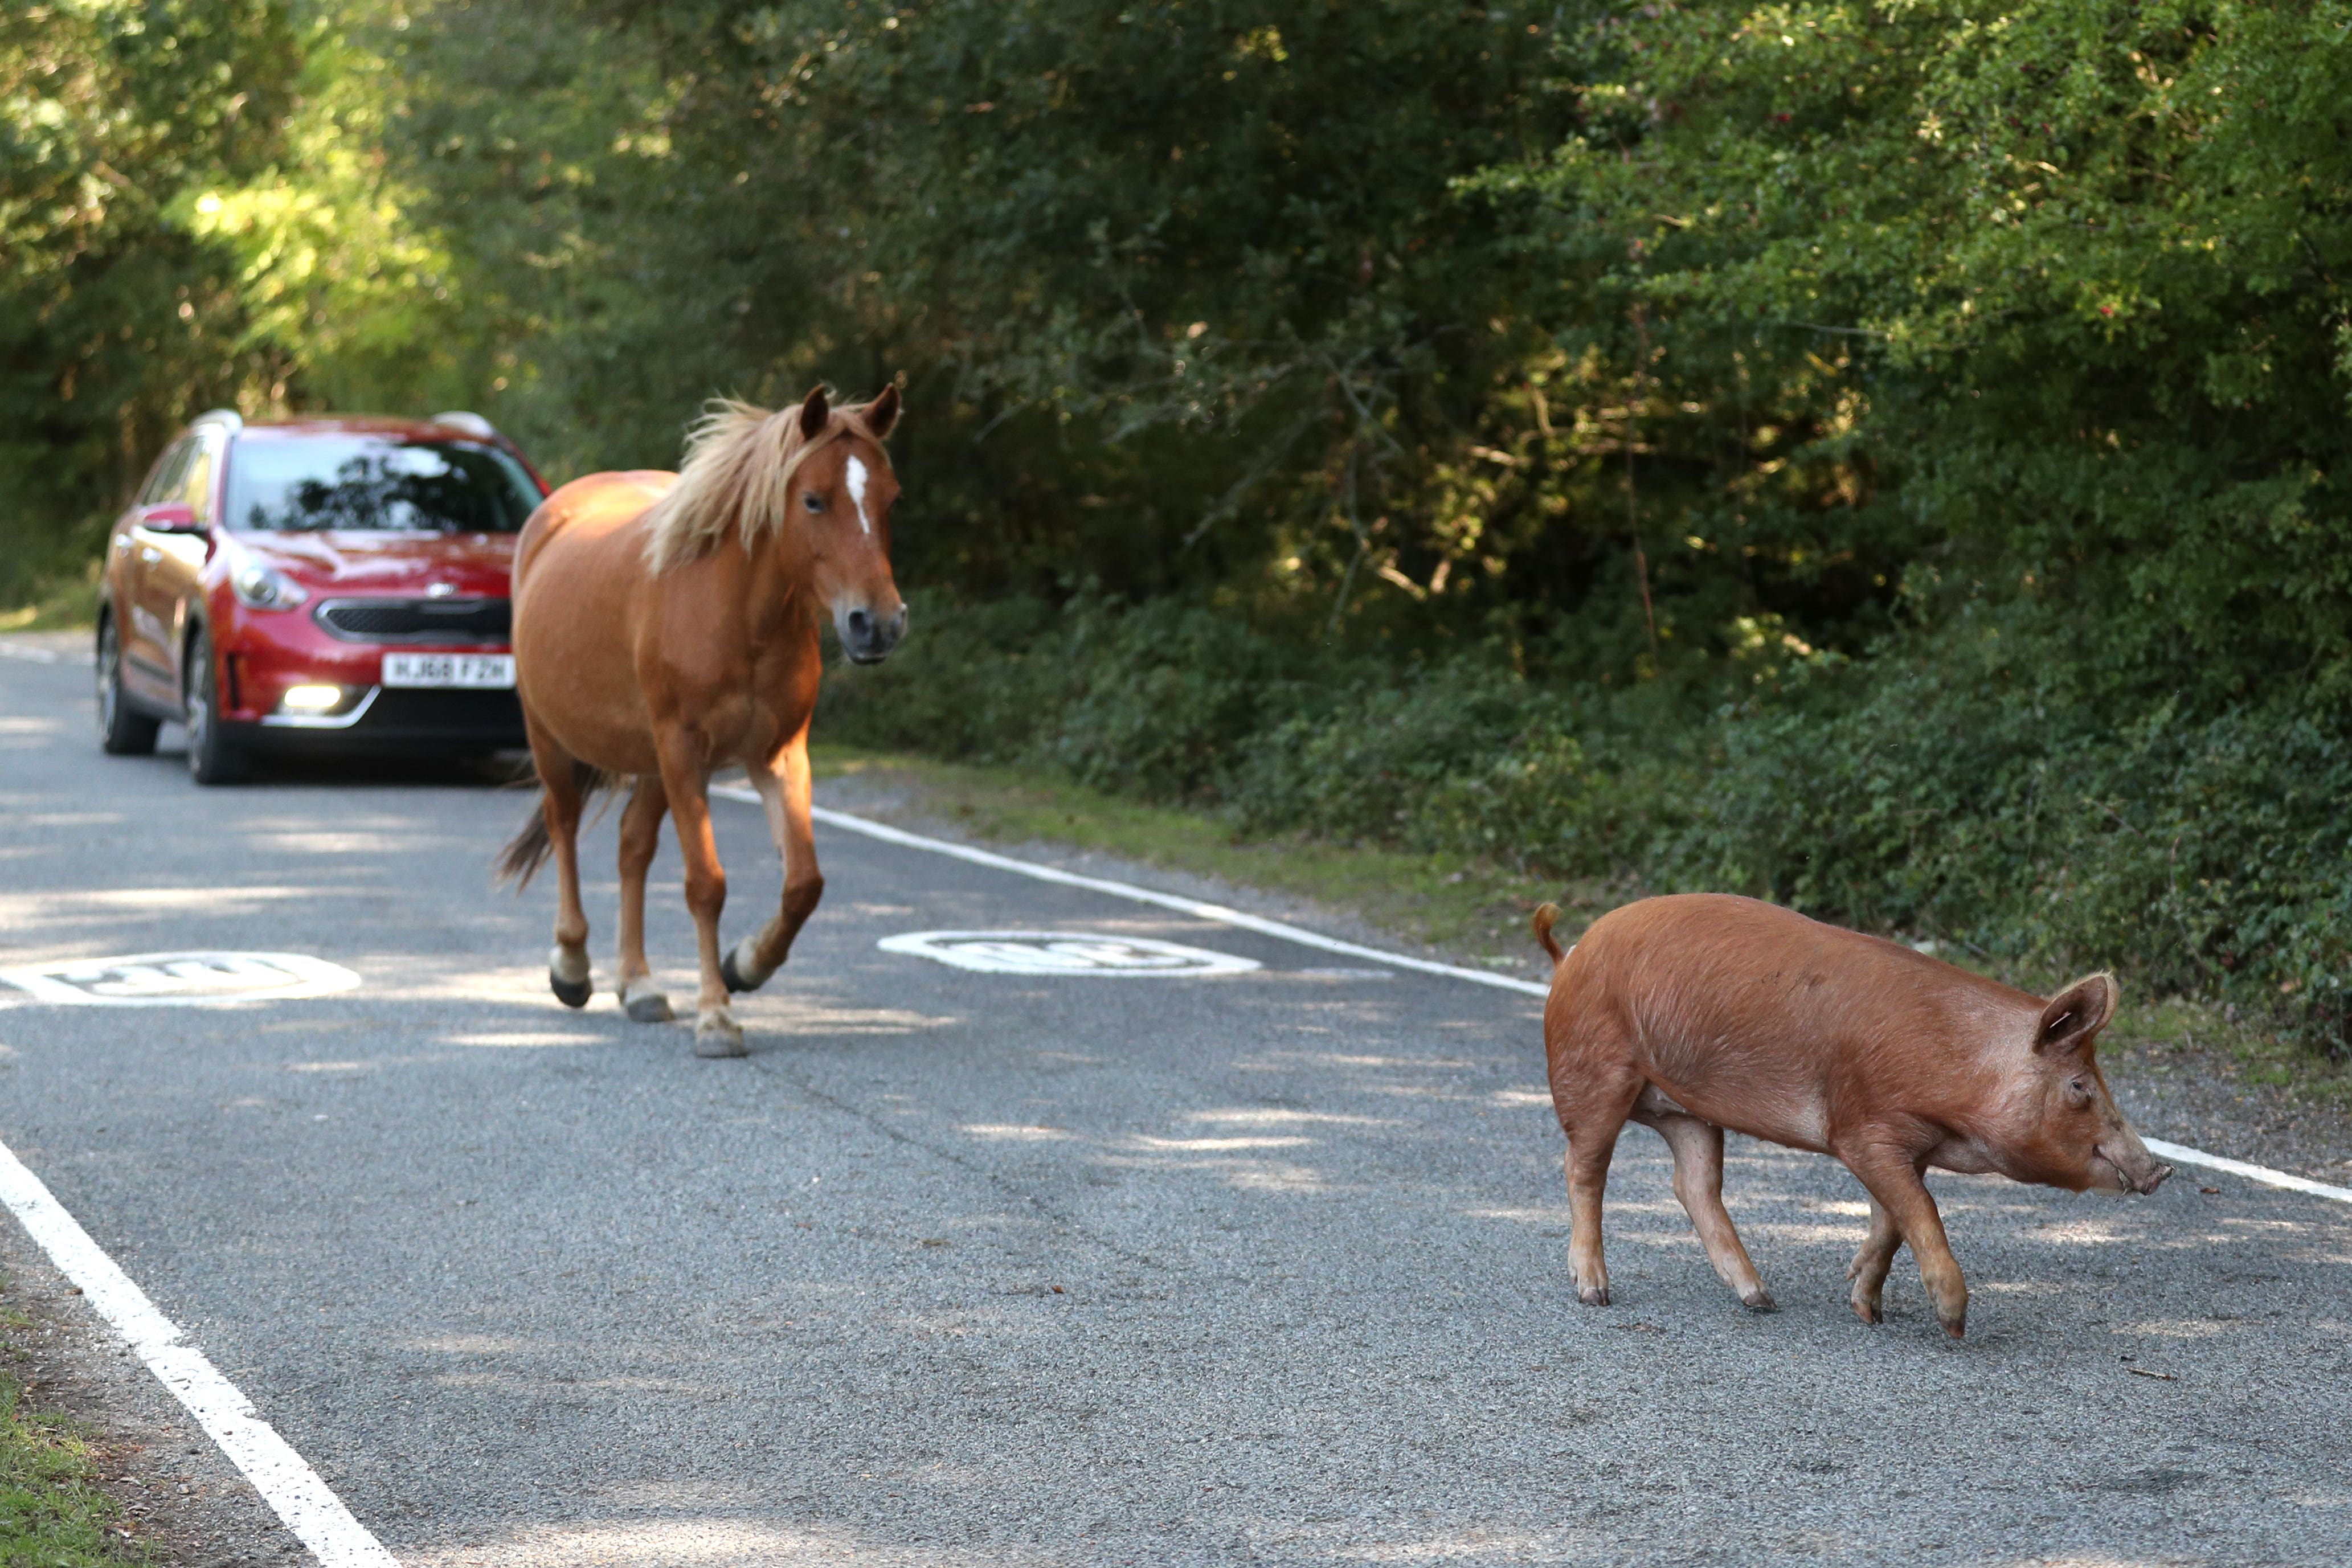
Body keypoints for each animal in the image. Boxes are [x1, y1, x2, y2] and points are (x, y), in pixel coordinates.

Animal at [491, 385, 903, 1062]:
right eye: (813, 500)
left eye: (890, 498)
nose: (879, 624)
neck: (738, 614)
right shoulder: (685, 752)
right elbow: (706, 884)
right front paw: (716, 1016)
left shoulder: (778, 755)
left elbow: (804, 884)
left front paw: (746, 964)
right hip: (550, 735)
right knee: (564, 823)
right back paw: (573, 965)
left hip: (651, 762)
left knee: (633, 845)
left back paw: (639, 985)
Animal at [1533, 893, 2173, 1335]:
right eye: (2079, 1085)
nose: (2158, 1171)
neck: (1957, 1071)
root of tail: (1569, 956)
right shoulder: (1863, 1130)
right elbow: (1920, 1211)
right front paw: (1954, 1325)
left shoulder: (1910, 1147)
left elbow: (1891, 1220)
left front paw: (1866, 1307)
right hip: (1594, 1071)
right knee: (1582, 1166)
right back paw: (1594, 1292)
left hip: (1688, 1109)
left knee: (1693, 1184)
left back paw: (1762, 1300)